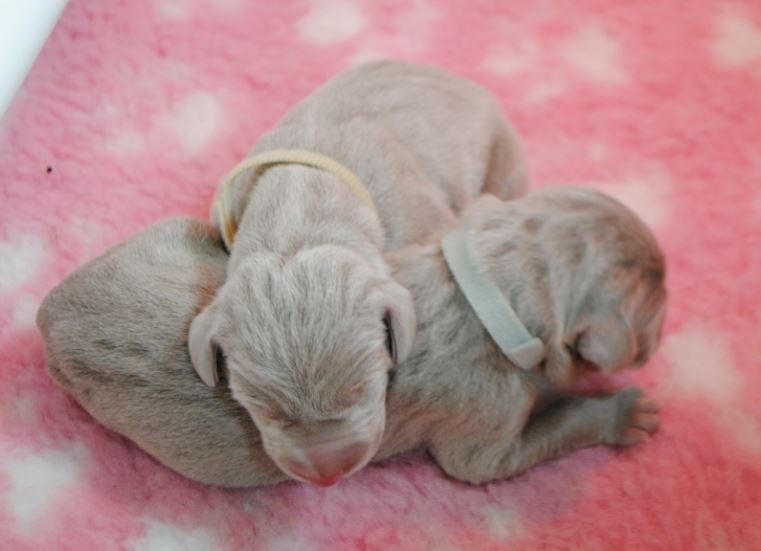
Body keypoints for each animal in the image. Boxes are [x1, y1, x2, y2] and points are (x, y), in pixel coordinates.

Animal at [38, 186, 666, 488]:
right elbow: (508, 453)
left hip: (169, 236)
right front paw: (620, 412)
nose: (667, 321)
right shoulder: (484, 426)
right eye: (658, 302)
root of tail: (48, 315)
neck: (485, 292)